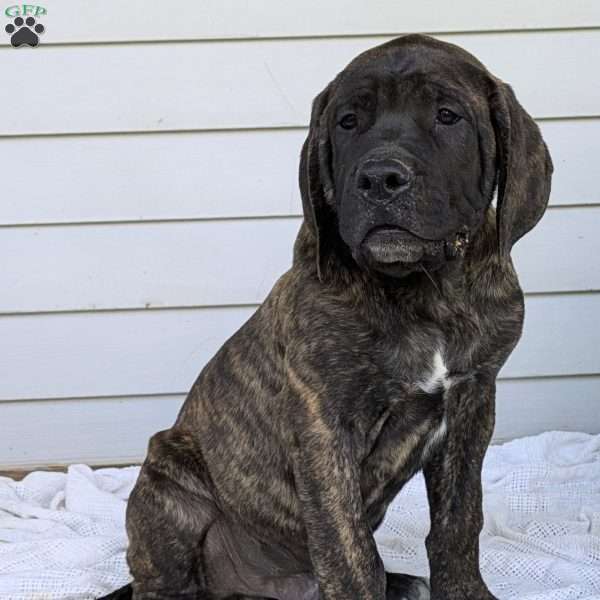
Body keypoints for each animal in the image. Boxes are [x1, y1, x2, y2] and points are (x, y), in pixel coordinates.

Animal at [101, 34, 552, 600]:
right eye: (348, 121)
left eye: (448, 116)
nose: (380, 178)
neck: (422, 288)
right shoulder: (324, 425)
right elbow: (348, 549)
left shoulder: (472, 401)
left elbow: (459, 519)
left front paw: (463, 590)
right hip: (167, 474)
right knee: (162, 583)